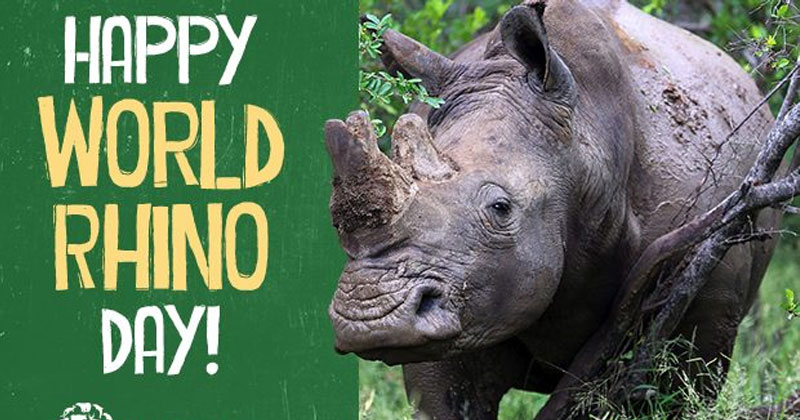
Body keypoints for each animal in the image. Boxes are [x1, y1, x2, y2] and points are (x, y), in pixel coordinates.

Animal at [325, 0, 779, 418]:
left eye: (501, 208)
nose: (371, 317)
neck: (587, 141)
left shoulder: (704, 277)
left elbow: (684, 391)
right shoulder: (464, 309)